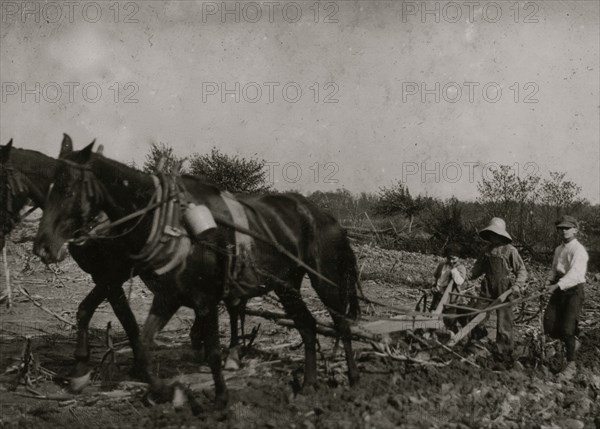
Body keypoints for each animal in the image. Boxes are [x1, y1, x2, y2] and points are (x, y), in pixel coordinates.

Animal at [0, 137, 245, 392]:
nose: (43, 248)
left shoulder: (112, 275)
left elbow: (124, 318)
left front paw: (136, 367)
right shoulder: (102, 276)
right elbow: (87, 311)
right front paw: (81, 367)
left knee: (234, 304)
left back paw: (232, 355)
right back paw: (200, 342)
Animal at [34, 140, 360, 408]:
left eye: (68, 188)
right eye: (47, 187)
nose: (42, 246)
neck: (169, 222)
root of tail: (325, 215)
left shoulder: (202, 299)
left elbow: (212, 350)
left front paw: (220, 398)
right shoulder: (165, 296)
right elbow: (143, 343)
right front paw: (164, 391)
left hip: (326, 280)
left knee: (342, 325)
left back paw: (354, 379)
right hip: (286, 285)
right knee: (307, 325)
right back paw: (308, 384)